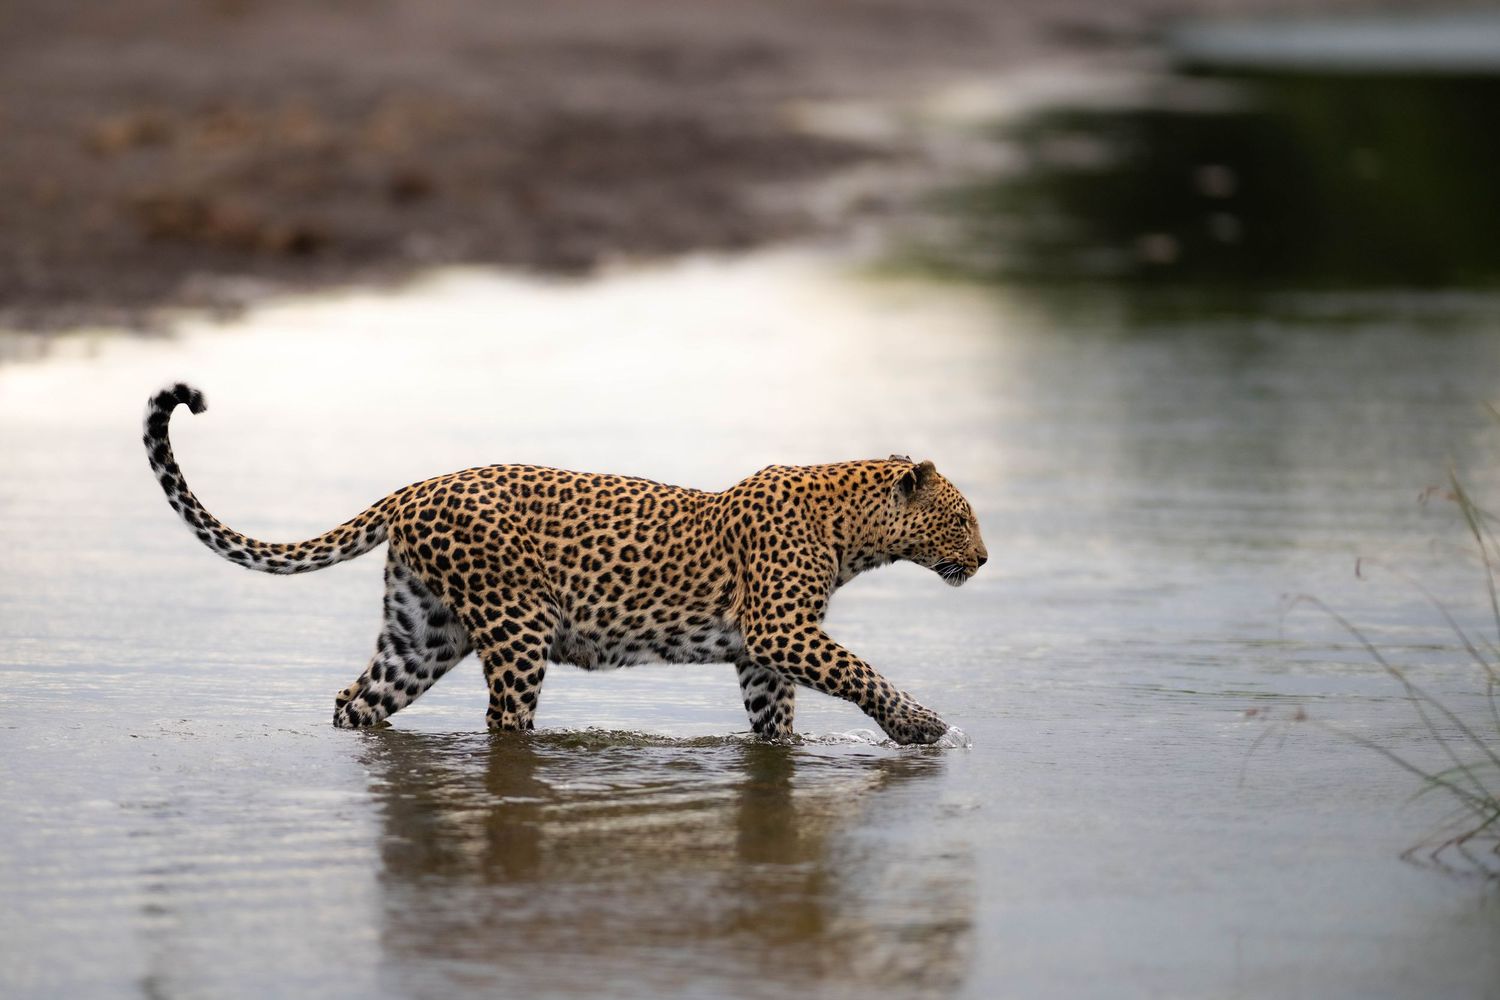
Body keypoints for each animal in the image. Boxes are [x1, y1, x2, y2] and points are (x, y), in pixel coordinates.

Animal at [143, 382, 988, 744]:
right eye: (961, 518)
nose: (983, 559)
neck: (850, 529)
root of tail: (416, 487)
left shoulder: (763, 654)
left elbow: (775, 723)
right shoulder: (781, 631)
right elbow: (863, 673)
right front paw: (920, 726)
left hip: (422, 634)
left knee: (357, 700)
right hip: (515, 626)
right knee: (503, 721)